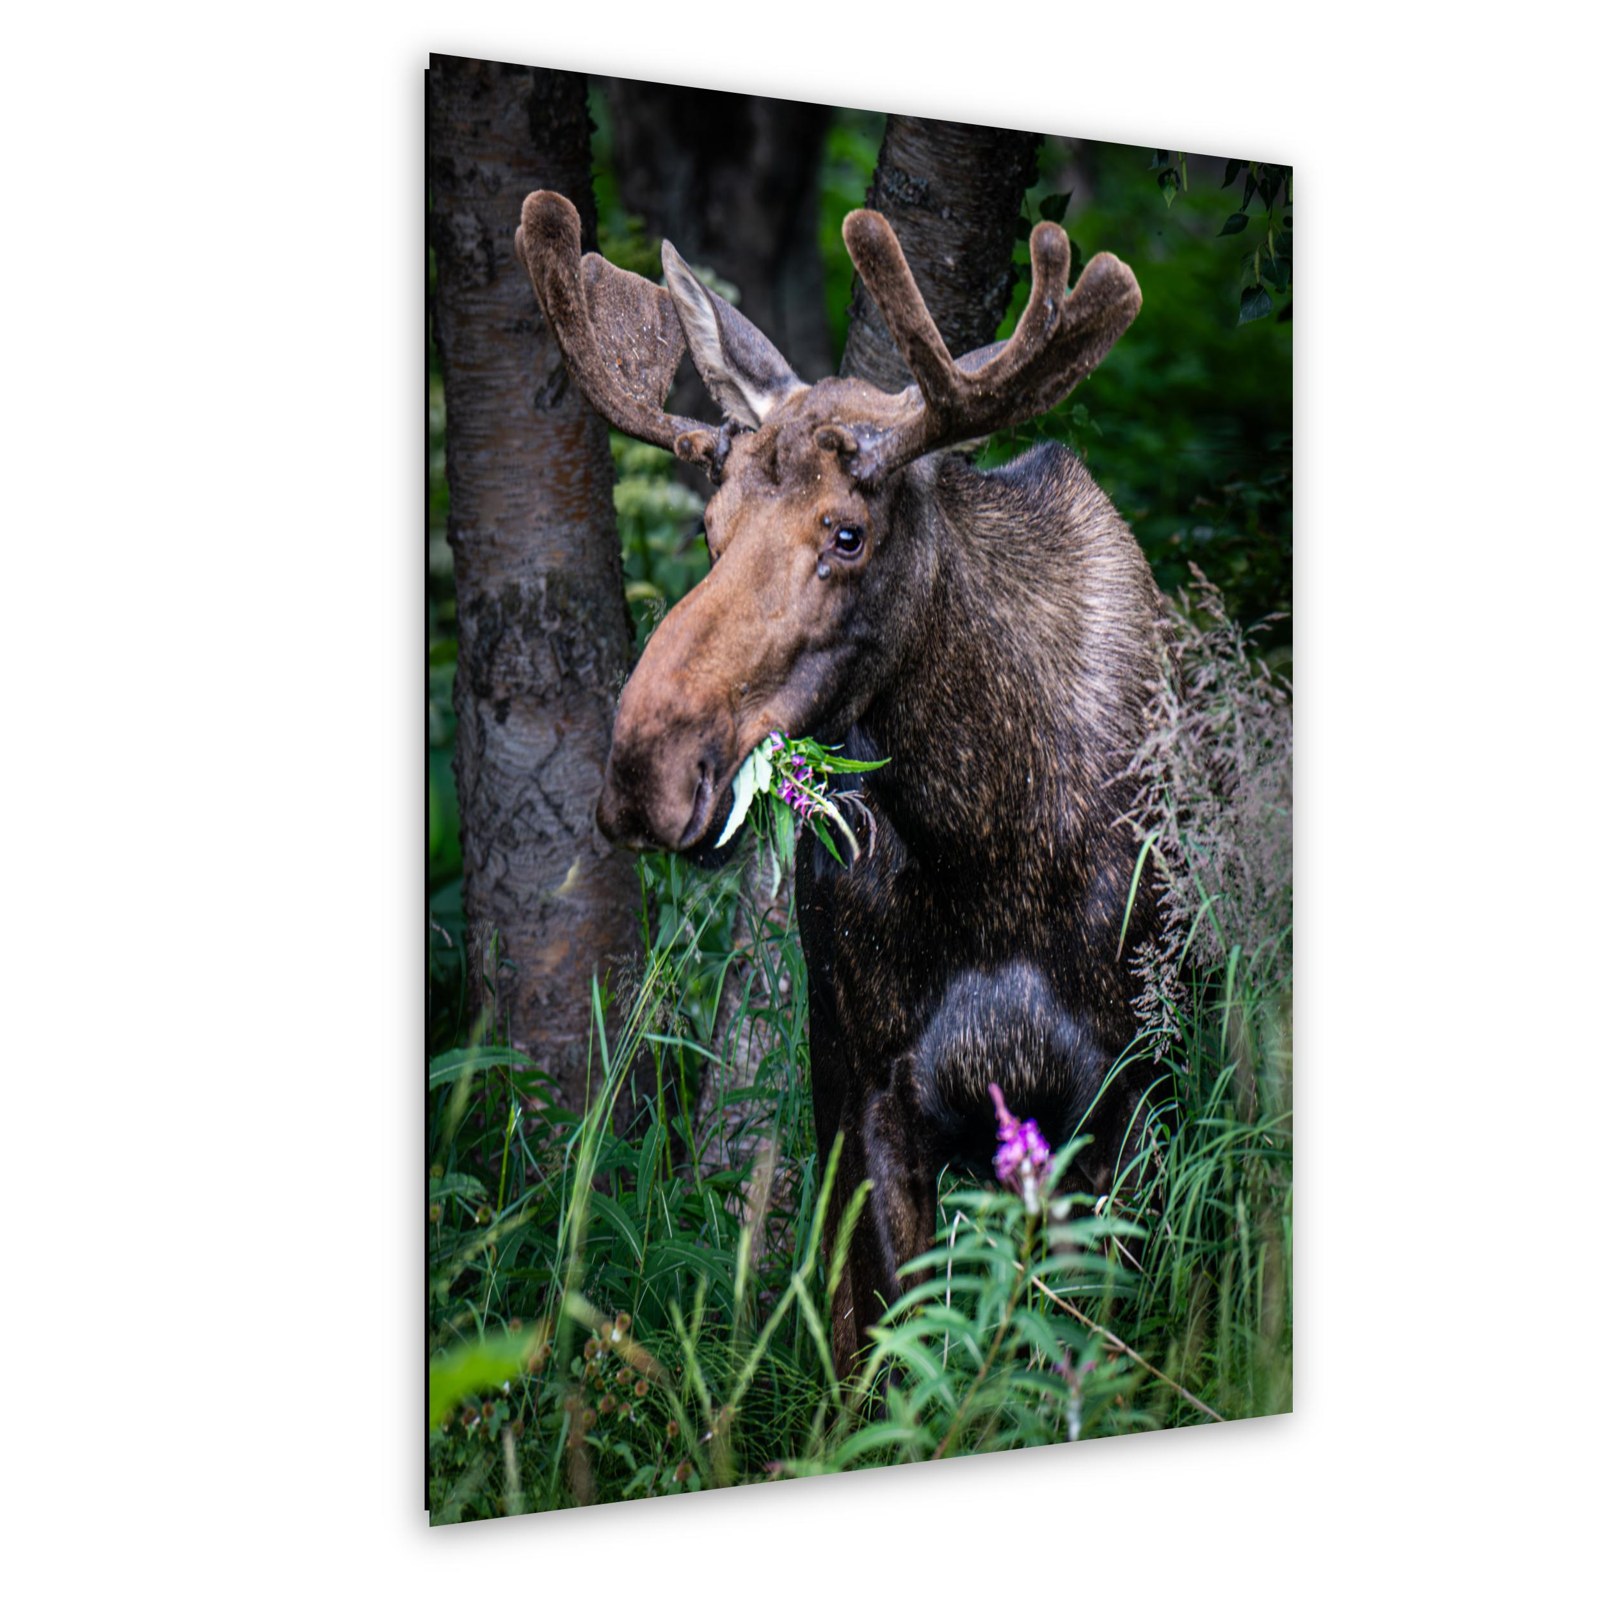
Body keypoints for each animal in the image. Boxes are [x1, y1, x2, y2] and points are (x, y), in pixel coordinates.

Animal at [515, 188, 1169, 1376]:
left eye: (848, 534)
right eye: (708, 528)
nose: (645, 771)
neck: (987, 841)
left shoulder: (1128, 1085)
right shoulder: (860, 1083)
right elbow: (886, 1361)